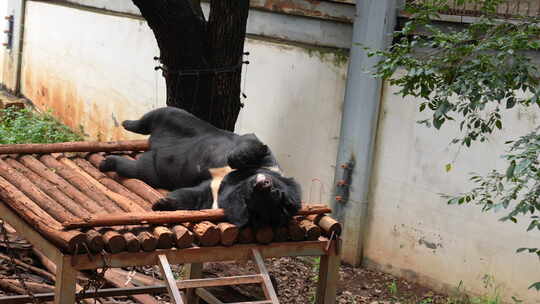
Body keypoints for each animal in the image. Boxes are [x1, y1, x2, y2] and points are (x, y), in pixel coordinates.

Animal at [99, 107, 302, 228]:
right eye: (277, 192)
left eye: (253, 201)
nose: (263, 185)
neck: (238, 180)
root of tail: (152, 145)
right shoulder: (267, 161)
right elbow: (252, 146)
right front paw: (237, 158)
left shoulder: (217, 194)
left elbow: (194, 196)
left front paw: (162, 204)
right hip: (182, 119)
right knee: (152, 118)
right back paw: (126, 123)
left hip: (151, 170)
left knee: (132, 167)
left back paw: (106, 163)